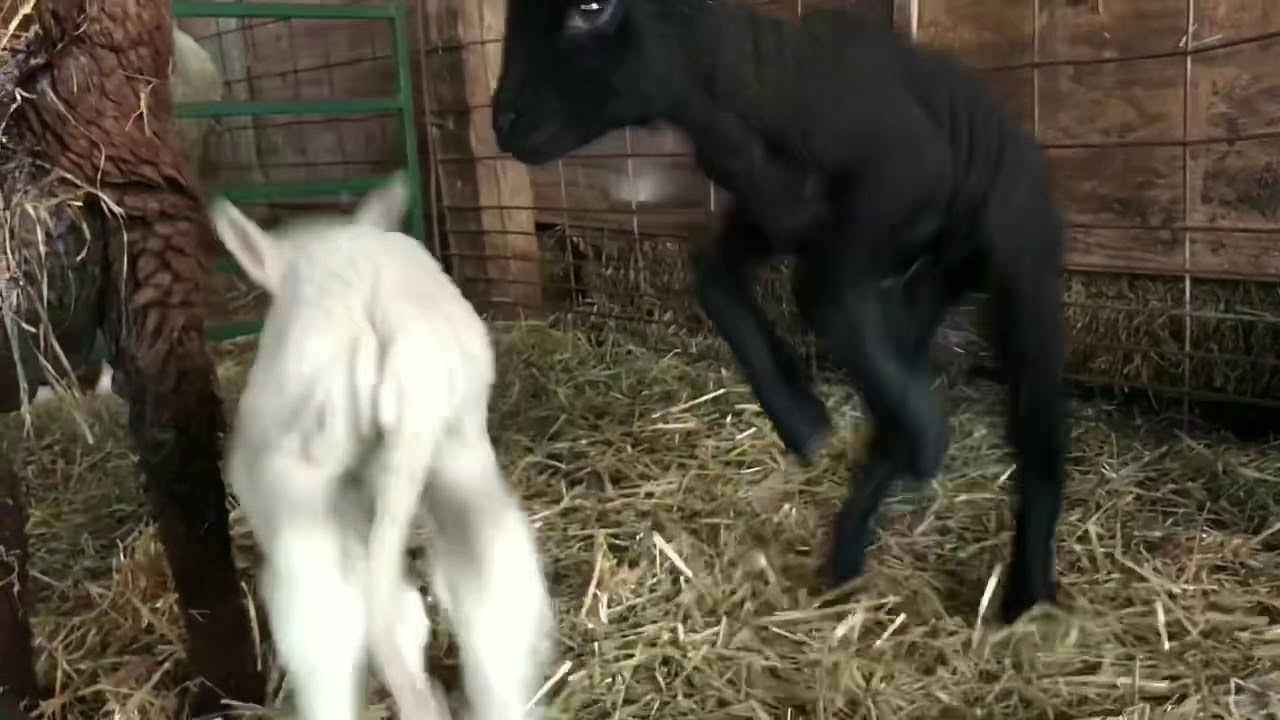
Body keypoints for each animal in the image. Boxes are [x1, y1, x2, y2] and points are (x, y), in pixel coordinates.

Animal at [491, 0, 1069, 623]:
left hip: (1021, 258)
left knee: (1036, 427)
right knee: (897, 375)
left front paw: (921, 438)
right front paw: (801, 418)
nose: (502, 122)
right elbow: (715, 279)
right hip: (930, 279)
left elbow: (817, 292)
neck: (751, 94)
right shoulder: (776, 217)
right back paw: (851, 545)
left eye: (591, 9)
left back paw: (1024, 593)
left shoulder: (892, 189)